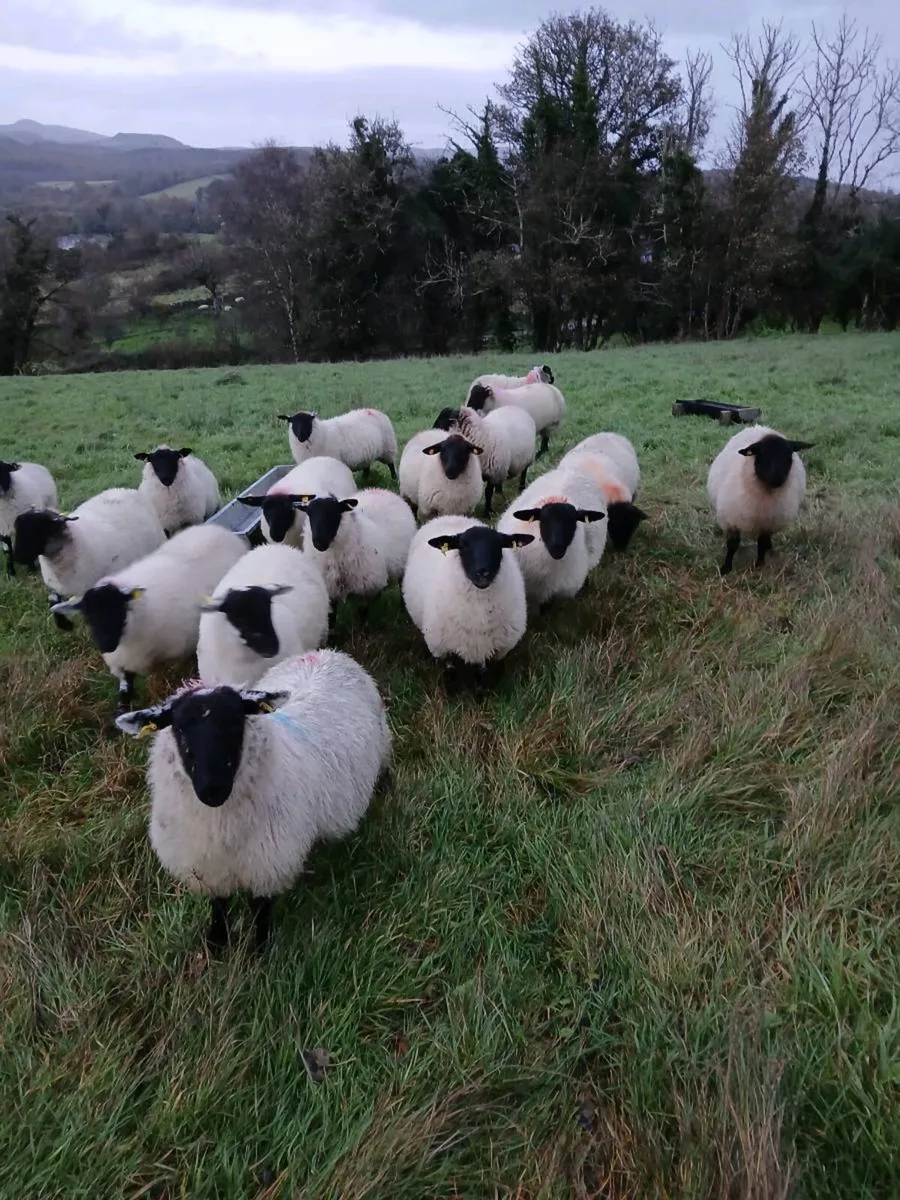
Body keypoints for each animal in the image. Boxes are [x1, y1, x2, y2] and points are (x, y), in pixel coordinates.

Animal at [13, 487, 166, 631]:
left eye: (41, 530)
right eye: (17, 529)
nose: (18, 557)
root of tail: (125, 489)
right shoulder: (55, 587)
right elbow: (53, 603)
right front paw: (64, 624)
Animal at [51, 524, 247, 711]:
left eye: (118, 609)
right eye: (88, 617)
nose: (106, 645)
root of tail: (216, 528)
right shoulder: (122, 664)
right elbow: (124, 697)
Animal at [115, 648, 392, 949]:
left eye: (236, 722)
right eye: (179, 728)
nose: (213, 789)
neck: (220, 827)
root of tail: (326, 653)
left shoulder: (268, 863)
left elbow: (261, 910)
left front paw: (260, 948)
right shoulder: (208, 867)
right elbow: (219, 904)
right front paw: (217, 942)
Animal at [401, 516, 533, 679]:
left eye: (499, 545)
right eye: (463, 545)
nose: (482, 572)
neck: (480, 615)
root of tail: (451, 516)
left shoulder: (497, 651)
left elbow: (486, 678)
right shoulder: (444, 650)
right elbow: (451, 676)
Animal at [706, 425, 814, 575]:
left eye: (789, 456)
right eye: (762, 455)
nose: (777, 479)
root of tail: (759, 427)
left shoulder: (766, 523)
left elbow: (762, 543)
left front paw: (759, 565)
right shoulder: (730, 521)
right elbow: (732, 546)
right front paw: (725, 569)